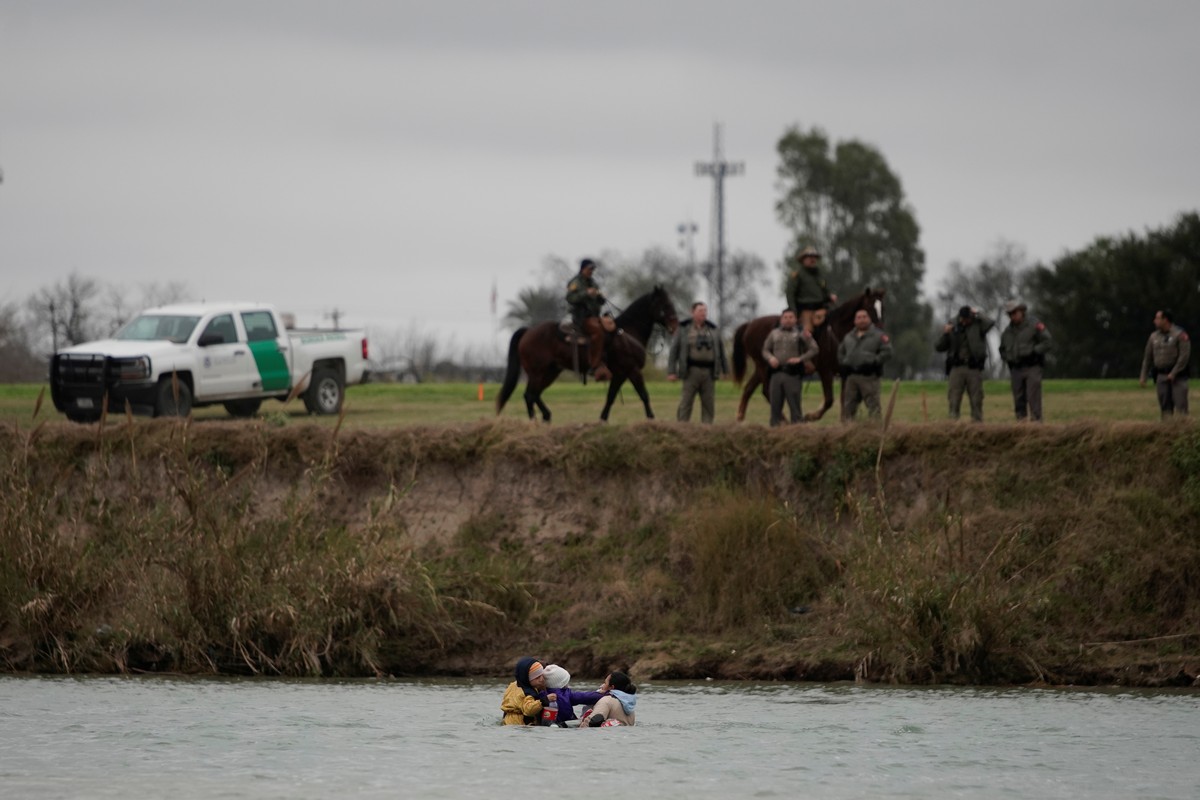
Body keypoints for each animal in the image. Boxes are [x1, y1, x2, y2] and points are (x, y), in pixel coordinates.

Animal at [496, 287, 681, 424]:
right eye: (665, 305)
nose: (675, 325)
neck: (628, 333)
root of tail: (528, 331)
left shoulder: (620, 374)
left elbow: (611, 396)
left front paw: (602, 419)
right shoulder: (632, 370)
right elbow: (644, 394)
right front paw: (652, 418)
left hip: (550, 372)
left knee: (534, 395)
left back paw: (546, 417)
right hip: (537, 373)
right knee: (530, 395)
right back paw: (535, 420)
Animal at [724, 289, 888, 424]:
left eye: (882, 308)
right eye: (870, 307)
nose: (880, 330)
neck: (838, 333)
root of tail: (750, 325)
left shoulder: (845, 372)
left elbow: (845, 398)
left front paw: (845, 422)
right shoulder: (826, 371)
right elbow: (829, 399)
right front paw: (810, 416)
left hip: (763, 367)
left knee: (749, 388)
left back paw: (740, 417)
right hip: (764, 366)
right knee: (765, 390)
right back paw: (784, 420)